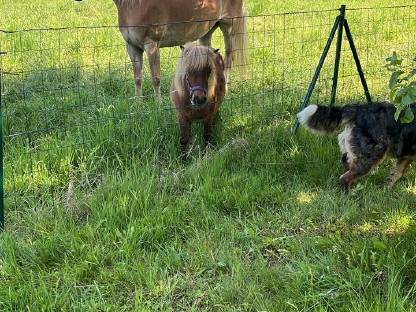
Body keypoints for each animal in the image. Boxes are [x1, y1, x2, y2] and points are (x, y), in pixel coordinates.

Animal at [75, 0, 247, 97]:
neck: (133, 5)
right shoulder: (132, 47)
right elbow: (137, 78)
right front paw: (138, 105)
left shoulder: (151, 45)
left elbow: (155, 78)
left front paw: (158, 105)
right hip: (206, 32)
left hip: (229, 28)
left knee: (228, 60)